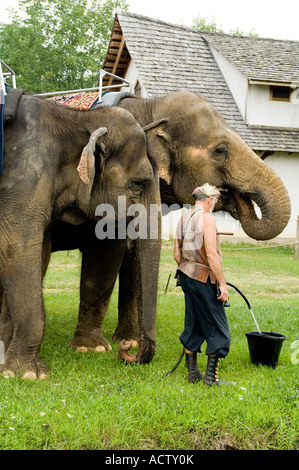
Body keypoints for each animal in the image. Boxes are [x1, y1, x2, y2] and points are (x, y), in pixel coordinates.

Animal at [0, 92, 162, 378]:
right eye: (138, 183)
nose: (126, 349)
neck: (77, 119)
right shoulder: (22, 178)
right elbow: (18, 250)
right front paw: (28, 374)